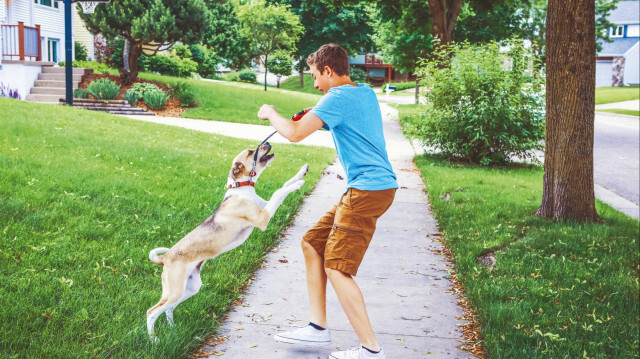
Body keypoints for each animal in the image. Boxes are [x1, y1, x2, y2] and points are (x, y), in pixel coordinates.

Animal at [148, 143, 308, 340]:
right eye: (250, 152)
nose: (267, 144)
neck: (241, 189)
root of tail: (165, 258)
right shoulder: (263, 217)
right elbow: (280, 191)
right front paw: (298, 183)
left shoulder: (264, 206)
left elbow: (283, 185)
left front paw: (301, 172)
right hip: (175, 290)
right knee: (152, 312)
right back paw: (154, 339)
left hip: (188, 288)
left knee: (168, 309)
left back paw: (172, 329)